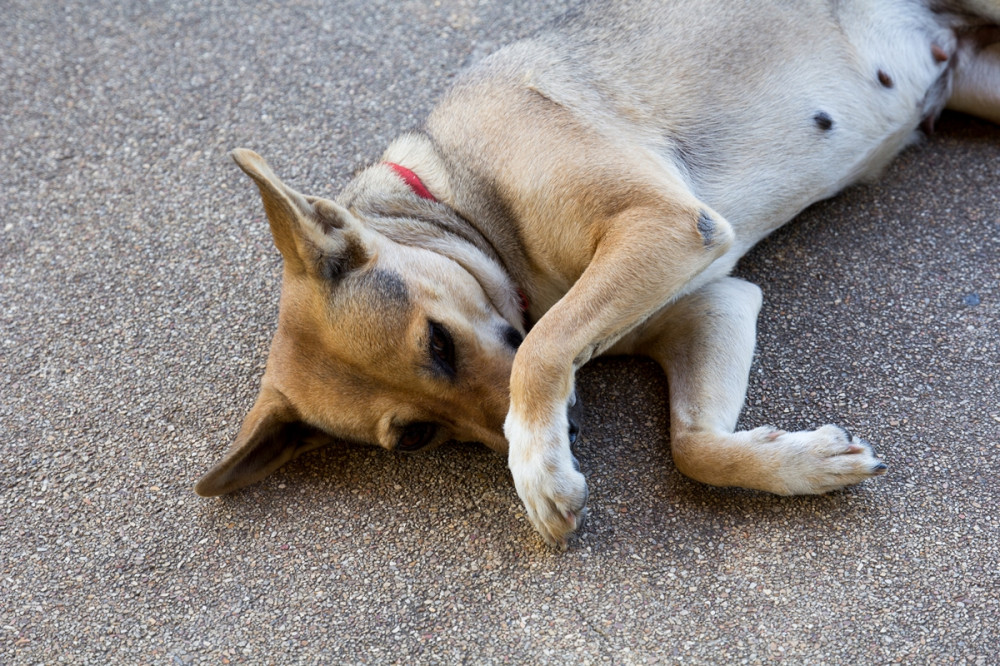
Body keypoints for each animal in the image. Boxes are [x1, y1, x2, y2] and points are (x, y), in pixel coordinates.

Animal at [197, 0, 1000, 544]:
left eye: (437, 342)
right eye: (418, 438)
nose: (573, 430)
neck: (463, 194)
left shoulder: (662, 224)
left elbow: (543, 348)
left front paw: (538, 467)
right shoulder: (713, 301)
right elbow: (693, 445)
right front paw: (805, 462)